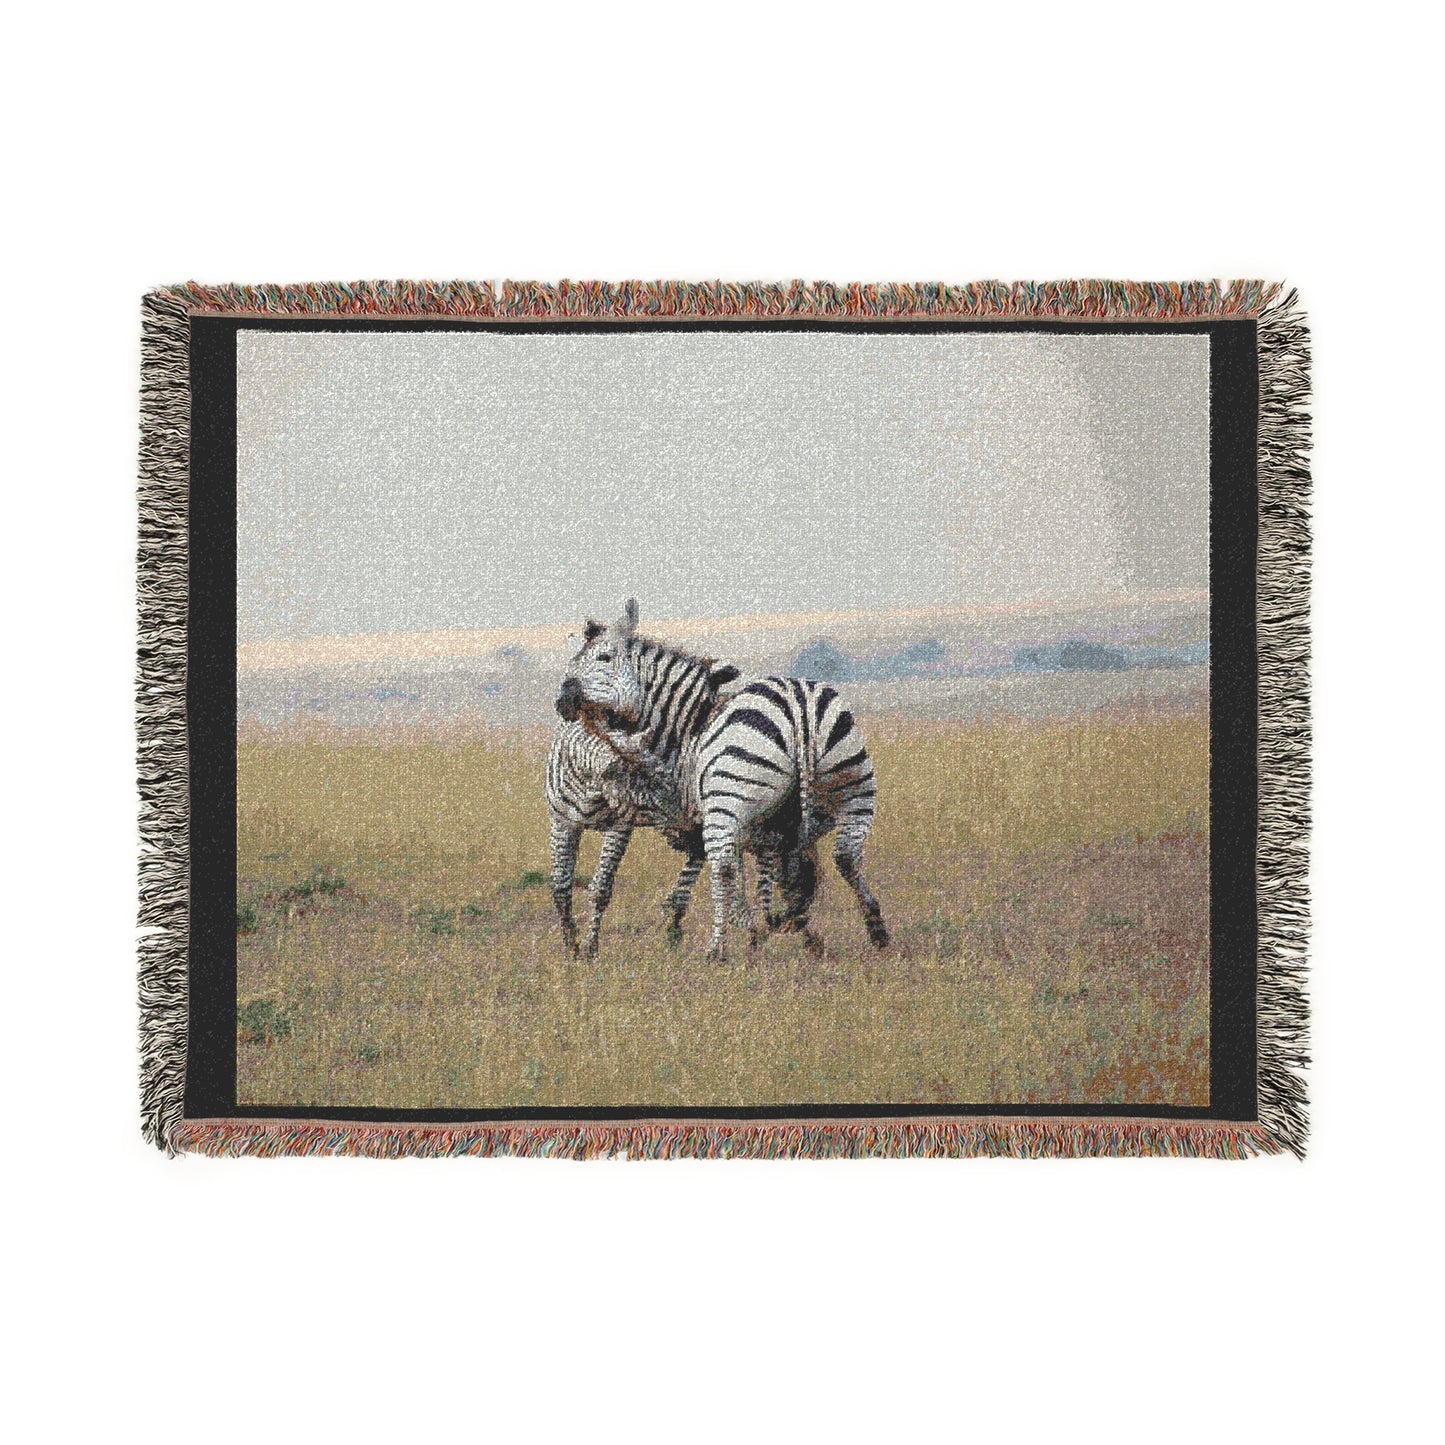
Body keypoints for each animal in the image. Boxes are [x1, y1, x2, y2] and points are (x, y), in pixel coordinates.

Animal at [558, 599, 889, 960]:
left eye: (603, 658)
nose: (561, 700)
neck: (688, 724)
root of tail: (799, 705)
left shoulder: (712, 817)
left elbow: (733, 874)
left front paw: (754, 928)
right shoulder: (763, 829)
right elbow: (768, 875)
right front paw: (775, 928)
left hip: (731, 800)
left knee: (724, 867)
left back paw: (716, 949)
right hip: (854, 786)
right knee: (846, 855)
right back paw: (876, 931)